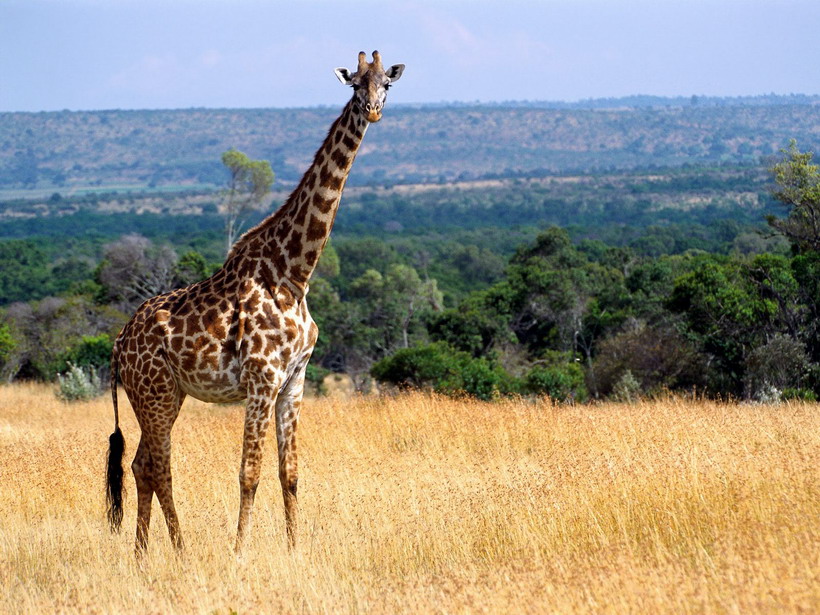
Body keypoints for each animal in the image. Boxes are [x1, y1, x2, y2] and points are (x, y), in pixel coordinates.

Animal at [105, 51, 404, 552]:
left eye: (387, 83)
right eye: (354, 84)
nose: (373, 110)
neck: (295, 274)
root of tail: (118, 344)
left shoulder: (294, 380)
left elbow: (290, 474)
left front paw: (294, 549)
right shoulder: (262, 379)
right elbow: (249, 473)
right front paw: (239, 552)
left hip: (165, 394)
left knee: (141, 465)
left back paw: (143, 554)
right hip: (155, 393)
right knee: (158, 467)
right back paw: (180, 552)